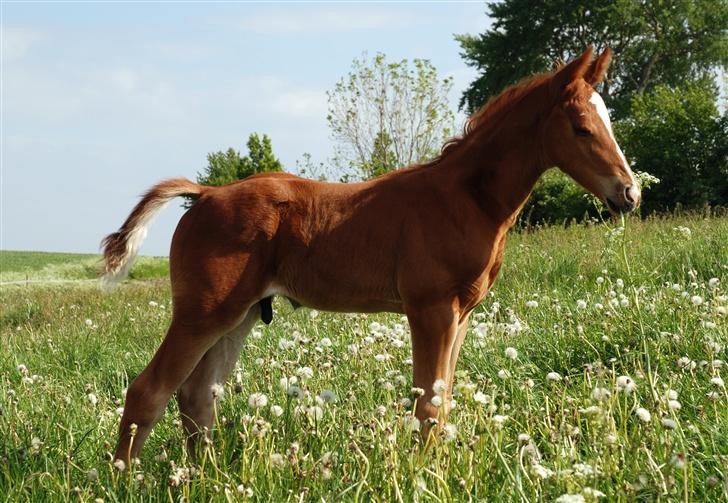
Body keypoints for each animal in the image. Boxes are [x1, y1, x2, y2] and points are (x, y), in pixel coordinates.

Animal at [105, 48, 640, 464]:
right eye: (581, 128)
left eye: (608, 121)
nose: (629, 193)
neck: (467, 198)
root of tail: (206, 193)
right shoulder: (430, 309)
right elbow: (427, 407)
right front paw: (428, 474)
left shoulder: (462, 314)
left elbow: (443, 400)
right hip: (202, 313)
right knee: (148, 391)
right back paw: (125, 478)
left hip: (240, 314)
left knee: (197, 397)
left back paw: (208, 477)